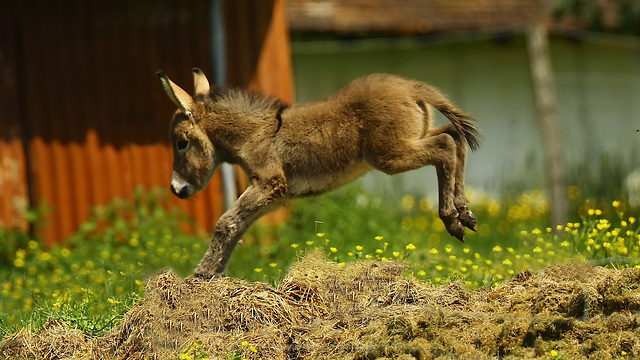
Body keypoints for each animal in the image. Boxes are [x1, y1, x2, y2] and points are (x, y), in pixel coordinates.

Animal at [159, 68, 480, 278]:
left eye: (181, 143)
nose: (176, 189)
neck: (256, 135)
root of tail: (410, 87)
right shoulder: (275, 196)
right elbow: (237, 226)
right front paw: (212, 275)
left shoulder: (269, 185)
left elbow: (225, 223)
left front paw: (199, 275)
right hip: (411, 139)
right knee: (455, 137)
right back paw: (464, 210)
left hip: (390, 155)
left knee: (445, 146)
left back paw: (451, 218)